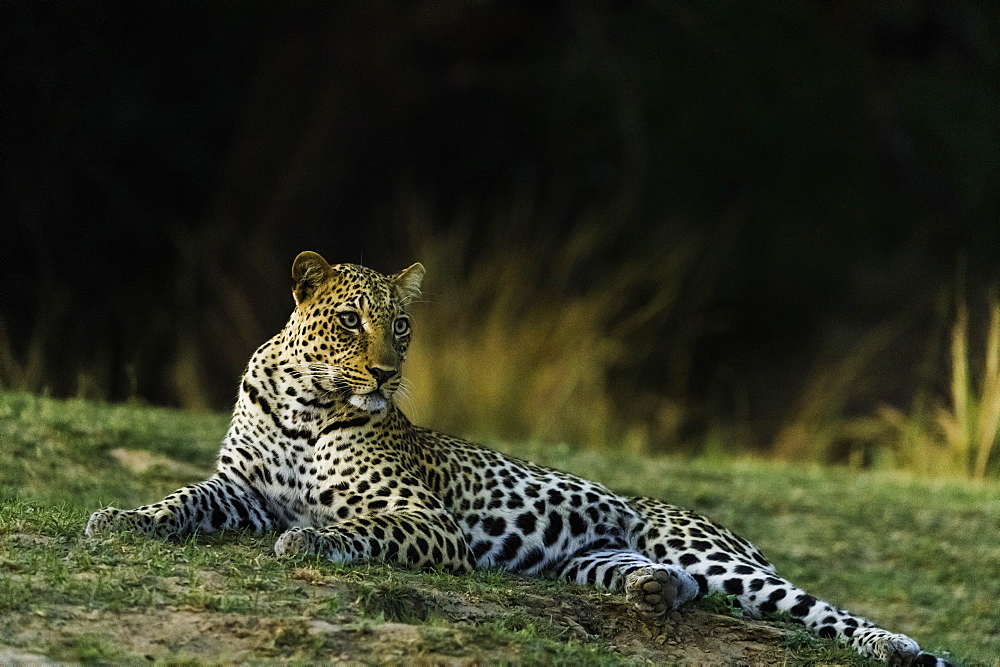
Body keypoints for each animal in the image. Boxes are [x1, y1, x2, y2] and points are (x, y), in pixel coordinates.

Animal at [88, 252, 952, 667]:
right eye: (349, 319)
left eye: (401, 326)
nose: (386, 374)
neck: (305, 403)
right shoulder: (239, 488)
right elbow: (183, 501)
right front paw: (121, 517)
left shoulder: (425, 518)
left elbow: (360, 529)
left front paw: (310, 538)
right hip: (594, 560)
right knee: (666, 583)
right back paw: (653, 591)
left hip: (724, 559)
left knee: (827, 611)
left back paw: (899, 649)